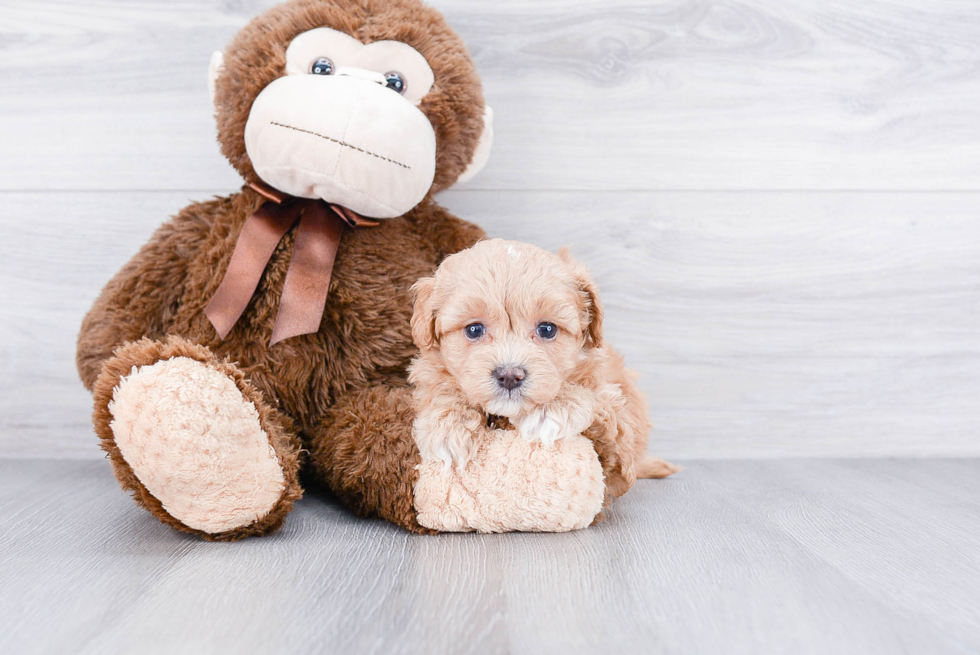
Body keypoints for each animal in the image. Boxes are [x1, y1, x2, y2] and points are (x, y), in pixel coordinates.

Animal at [410, 238, 676, 500]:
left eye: (547, 329)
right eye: (474, 330)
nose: (509, 375)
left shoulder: (621, 447)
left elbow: (595, 401)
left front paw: (550, 408)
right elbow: (444, 387)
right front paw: (448, 426)